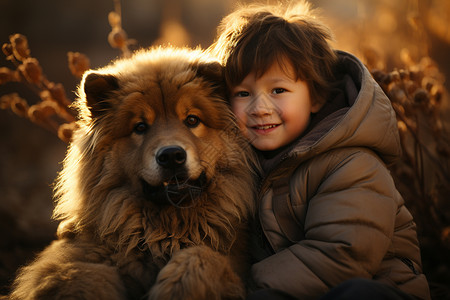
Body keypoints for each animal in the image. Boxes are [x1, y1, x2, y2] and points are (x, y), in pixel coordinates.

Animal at [9, 47, 256, 300]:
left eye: (192, 120)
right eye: (140, 127)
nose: (171, 155)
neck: (167, 232)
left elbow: (200, 257)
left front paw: (175, 288)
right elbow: (78, 276)